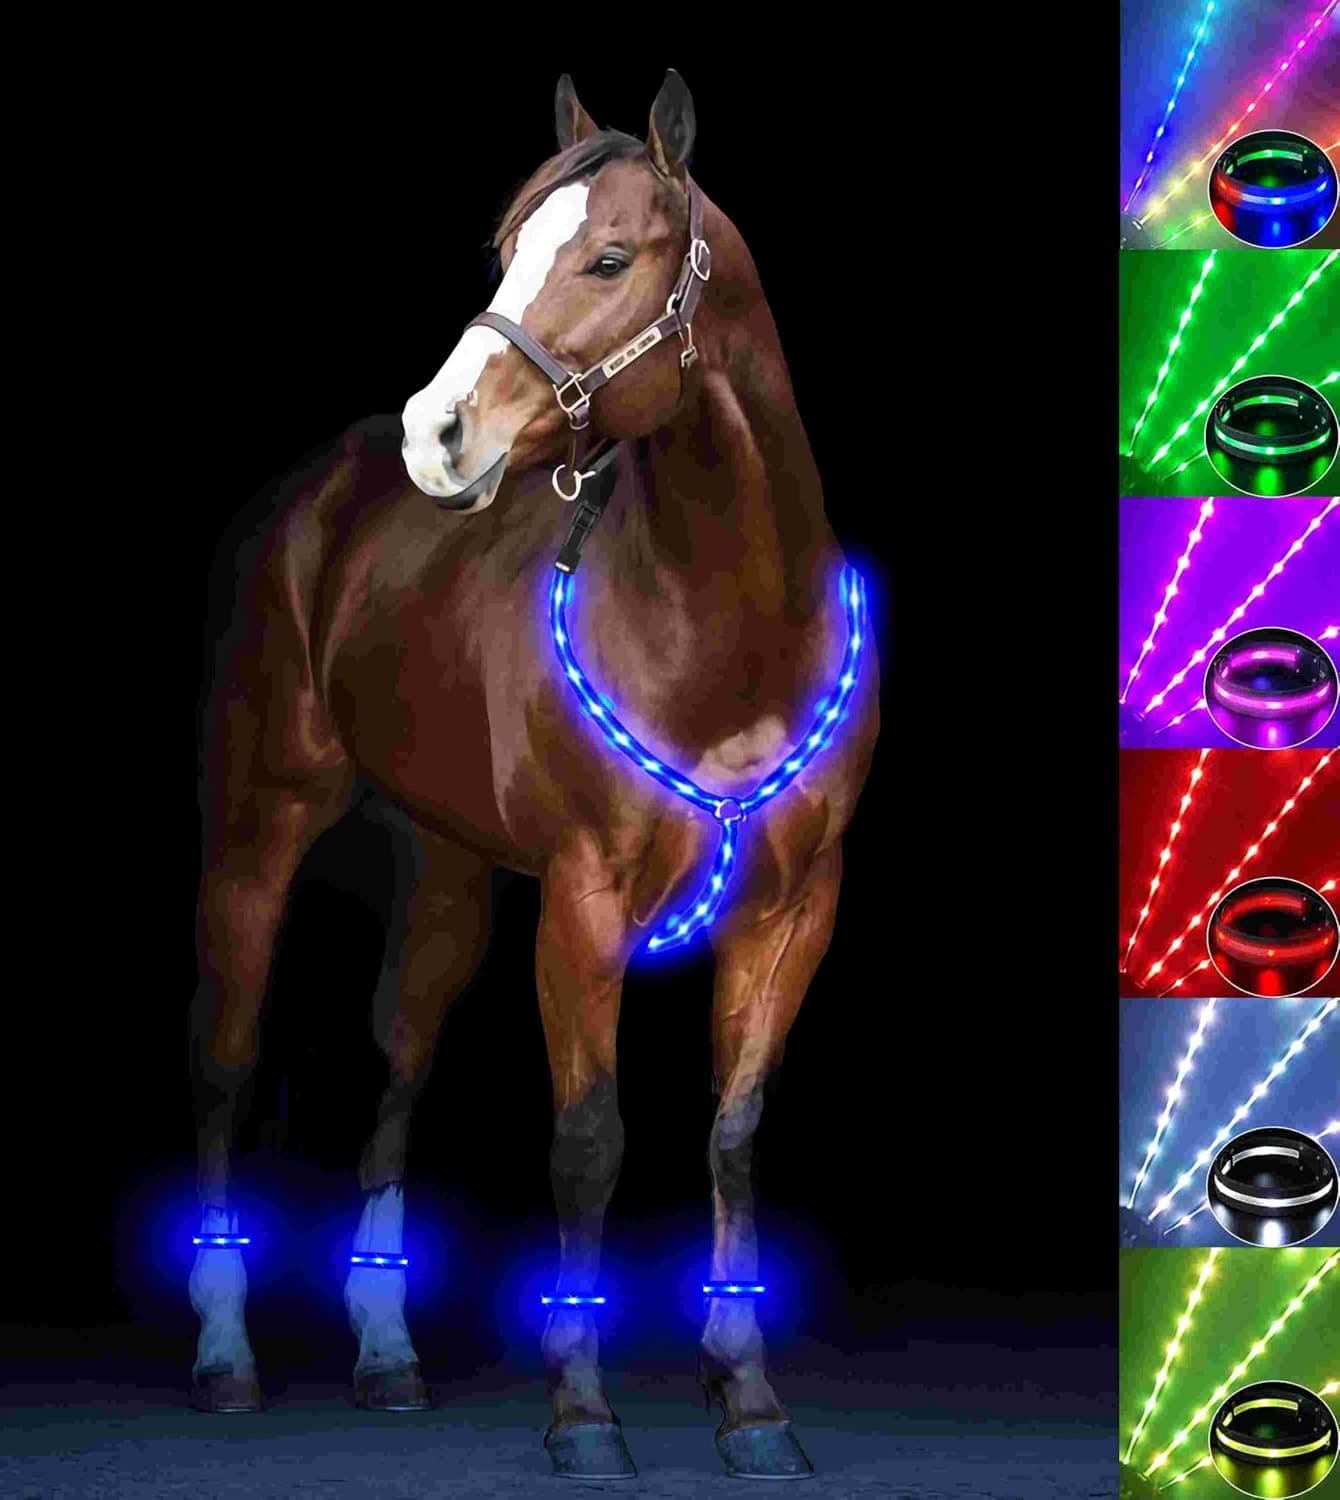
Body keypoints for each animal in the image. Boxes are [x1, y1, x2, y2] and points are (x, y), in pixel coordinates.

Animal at [188, 67, 879, 1482]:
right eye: (507, 249)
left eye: (608, 257)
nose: (436, 435)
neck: (727, 637)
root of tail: (315, 498)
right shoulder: (582, 904)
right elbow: (588, 1140)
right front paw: (582, 1414)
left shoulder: (795, 911)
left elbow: (731, 1139)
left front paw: (751, 1406)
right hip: (258, 828)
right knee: (227, 1066)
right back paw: (225, 1360)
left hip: (447, 874)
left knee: (396, 1075)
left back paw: (387, 1360)